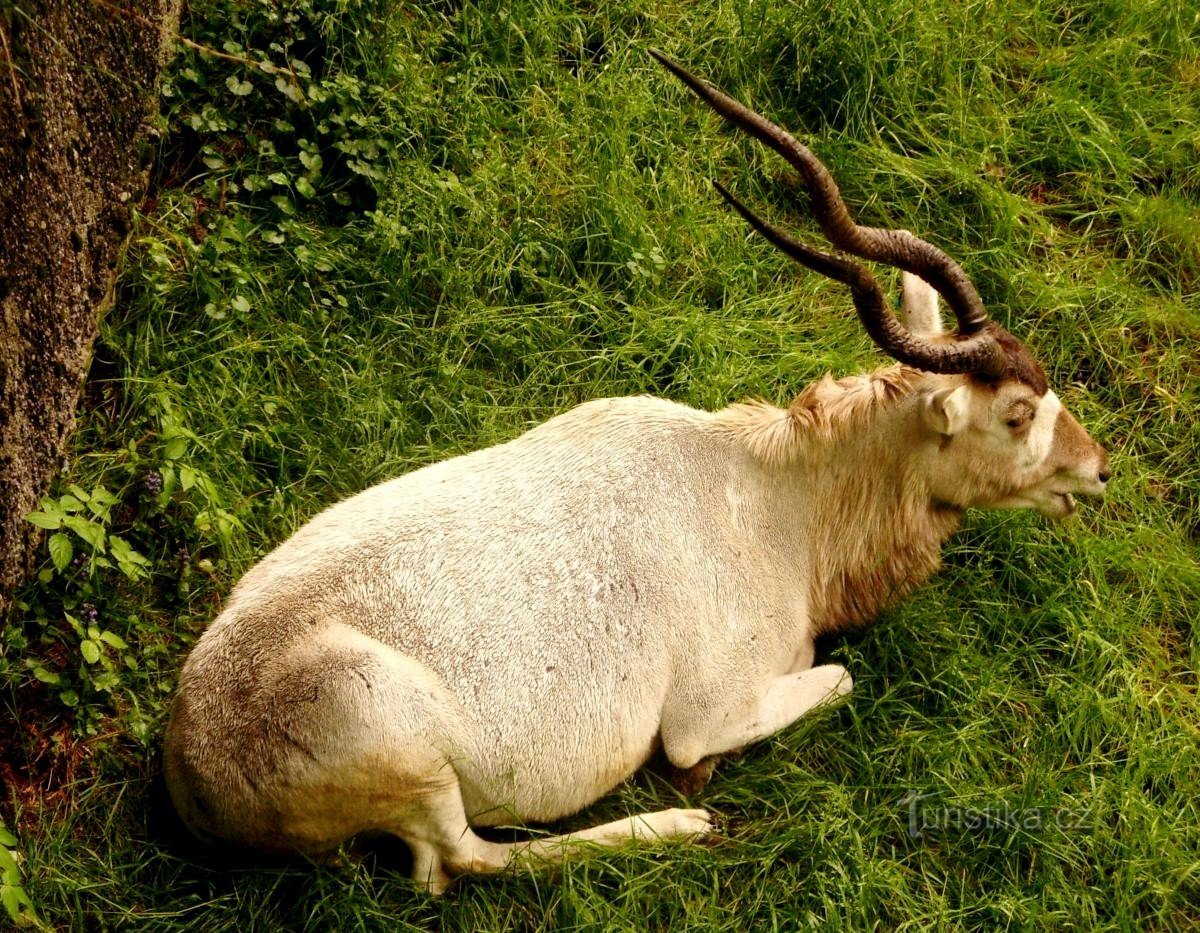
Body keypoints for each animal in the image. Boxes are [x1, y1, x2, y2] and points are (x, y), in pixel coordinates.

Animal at [164, 49, 1108, 887]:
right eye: (1017, 413)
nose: (1097, 469)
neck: (777, 499)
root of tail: (189, 759)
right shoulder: (712, 706)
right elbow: (833, 675)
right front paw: (693, 778)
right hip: (413, 761)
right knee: (460, 862)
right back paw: (680, 821)